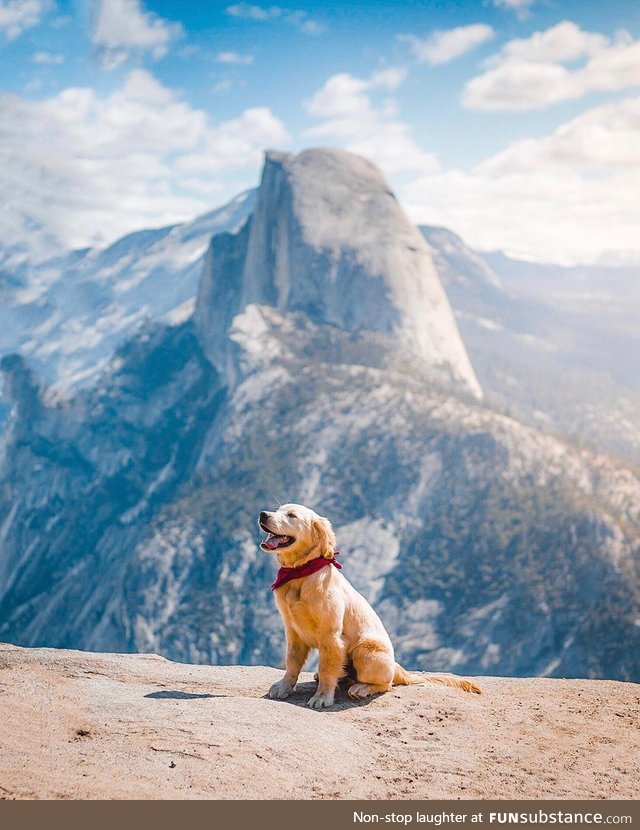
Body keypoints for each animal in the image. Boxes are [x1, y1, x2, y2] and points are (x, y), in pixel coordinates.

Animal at [258, 504, 482, 712]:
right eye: (278, 510)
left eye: (292, 515)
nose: (263, 514)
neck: (301, 573)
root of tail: (396, 666)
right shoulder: (293, 631)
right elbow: (292, 662)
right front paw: (284, 687)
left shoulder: (331, 635)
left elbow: (327, 667)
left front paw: (322, 697)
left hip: (365, 651)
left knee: (386, 684)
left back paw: (361, 688)